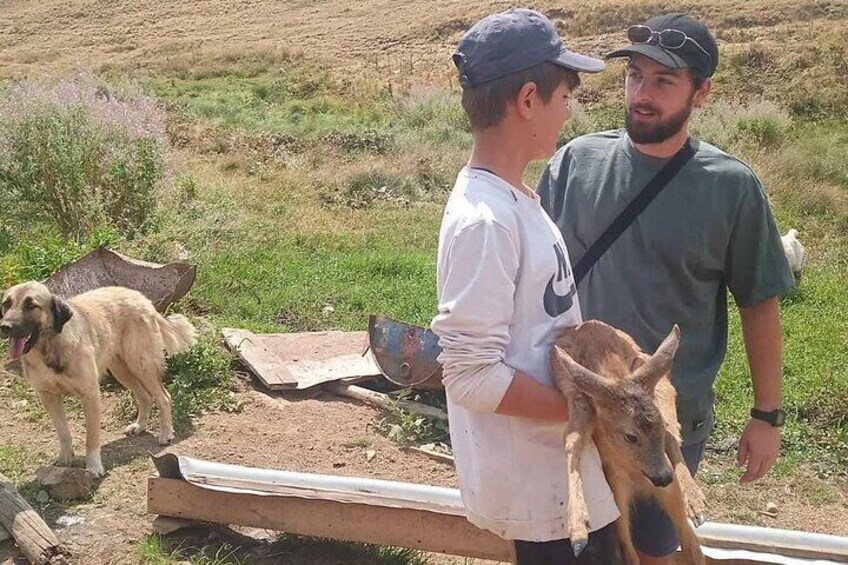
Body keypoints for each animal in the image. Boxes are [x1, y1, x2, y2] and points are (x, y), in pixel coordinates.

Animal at [550, 320, 707, 565]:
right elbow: (572, 439)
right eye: (630, 436)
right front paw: (578, 530)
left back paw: (695, 502)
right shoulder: (574, 392)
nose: (662, 477)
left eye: (658, 430)